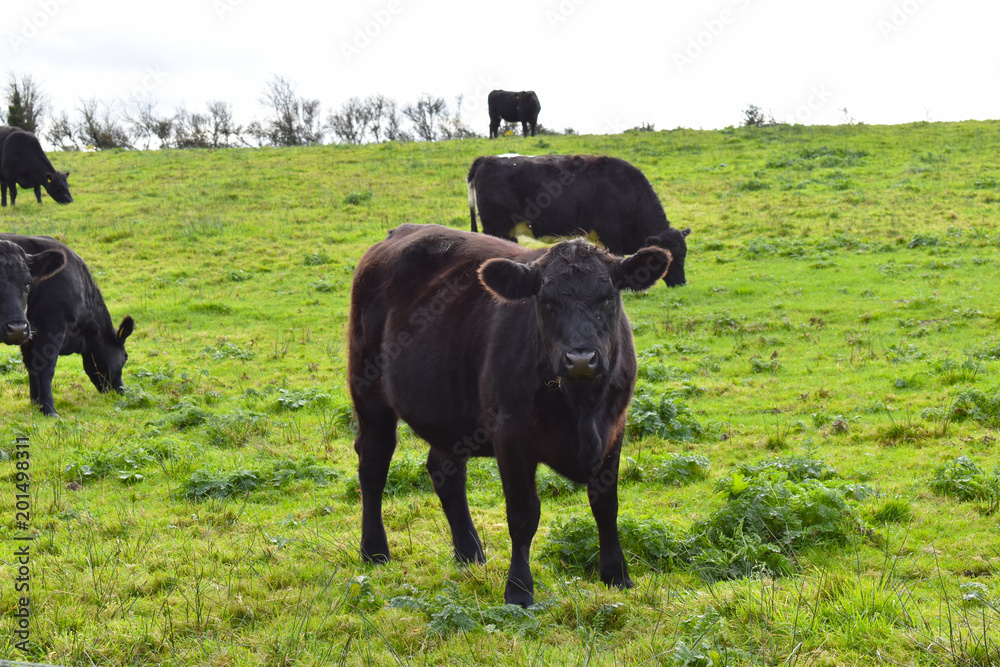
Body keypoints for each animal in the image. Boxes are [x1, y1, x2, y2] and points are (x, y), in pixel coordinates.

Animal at [0, 234, 134, 416]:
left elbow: (32, 366)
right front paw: (49, 409)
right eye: (125, 356)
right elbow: (46, 368)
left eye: (28, 283)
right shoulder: (53, 324)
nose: (120, 391)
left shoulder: (29, 332)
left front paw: (36, 404)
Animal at [348, 223, 669, 607]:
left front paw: (617, 575)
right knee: (373, 464)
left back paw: (470, 554)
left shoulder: (614, 428)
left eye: (608, 297)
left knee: (445, 472)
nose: (580, 359)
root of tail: (398, 233)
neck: (581, 406)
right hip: (369, 391)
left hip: (448, 410)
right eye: (546, 301)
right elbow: (523, 513)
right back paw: (374, 550)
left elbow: (606, 504)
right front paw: (518, 589)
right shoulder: (512, 436)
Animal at [469, 154, 692, 287]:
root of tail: (487, 158)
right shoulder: (611, 233)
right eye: (669, 257)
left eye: (684, 254)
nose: (681, 283)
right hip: (496, 226)